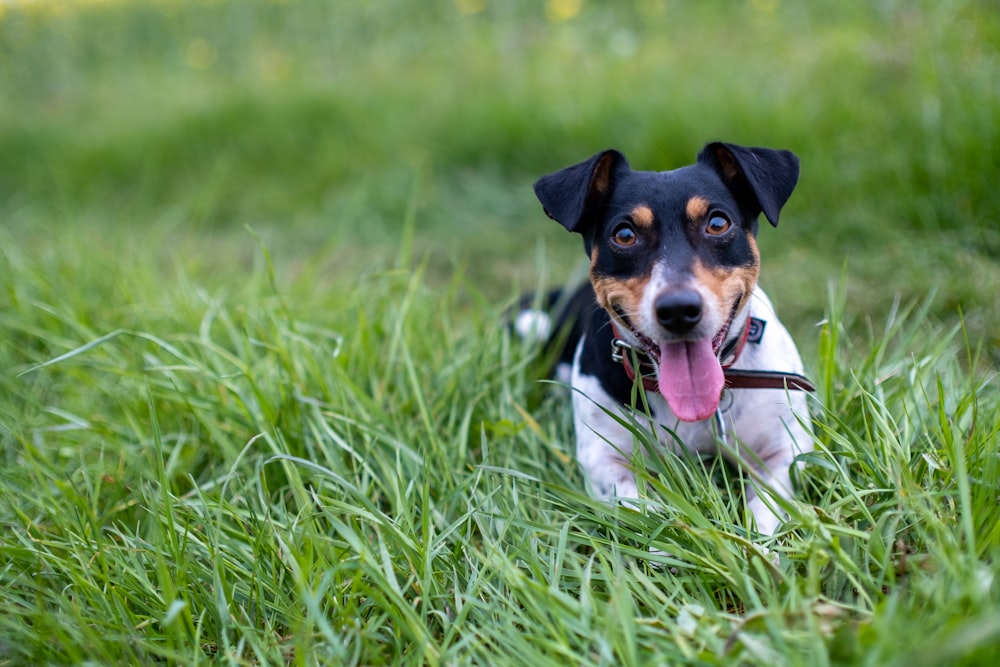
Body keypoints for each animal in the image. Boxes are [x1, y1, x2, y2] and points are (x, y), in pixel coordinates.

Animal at [520, 141, 816, 536]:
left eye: (718, 223)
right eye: (624, 235)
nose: (678, 309)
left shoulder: (783, 450)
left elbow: (766, 507)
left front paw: (755, 546)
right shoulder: (604, 459)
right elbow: (647, 511)